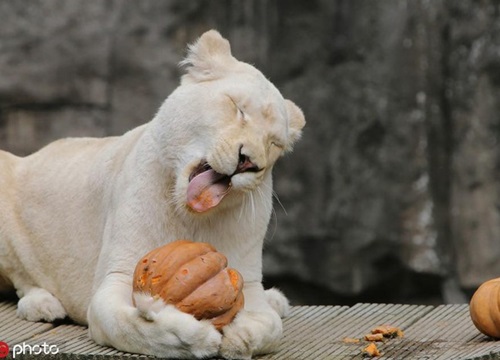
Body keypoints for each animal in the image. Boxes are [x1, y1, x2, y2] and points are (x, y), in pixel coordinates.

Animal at [0, 29, 304, 358]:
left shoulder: (247, 283)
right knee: (20, 278)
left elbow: (271, 328)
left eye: (274, 143)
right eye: (238, 108)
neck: (194, 218)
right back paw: (43, 304)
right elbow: (132, 326)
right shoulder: (117, 277)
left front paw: (241, 338)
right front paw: (195, 337)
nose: (249, 162)